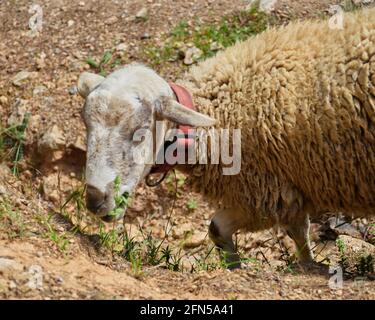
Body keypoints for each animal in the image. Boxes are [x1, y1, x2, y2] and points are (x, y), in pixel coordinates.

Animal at [77, 6, 375, 268]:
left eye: (139, 131)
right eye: (87, 126)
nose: (94, 200)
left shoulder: (262, 193)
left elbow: (218, 228)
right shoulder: (289, 189)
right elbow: (295, 230)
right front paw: (305, 264)